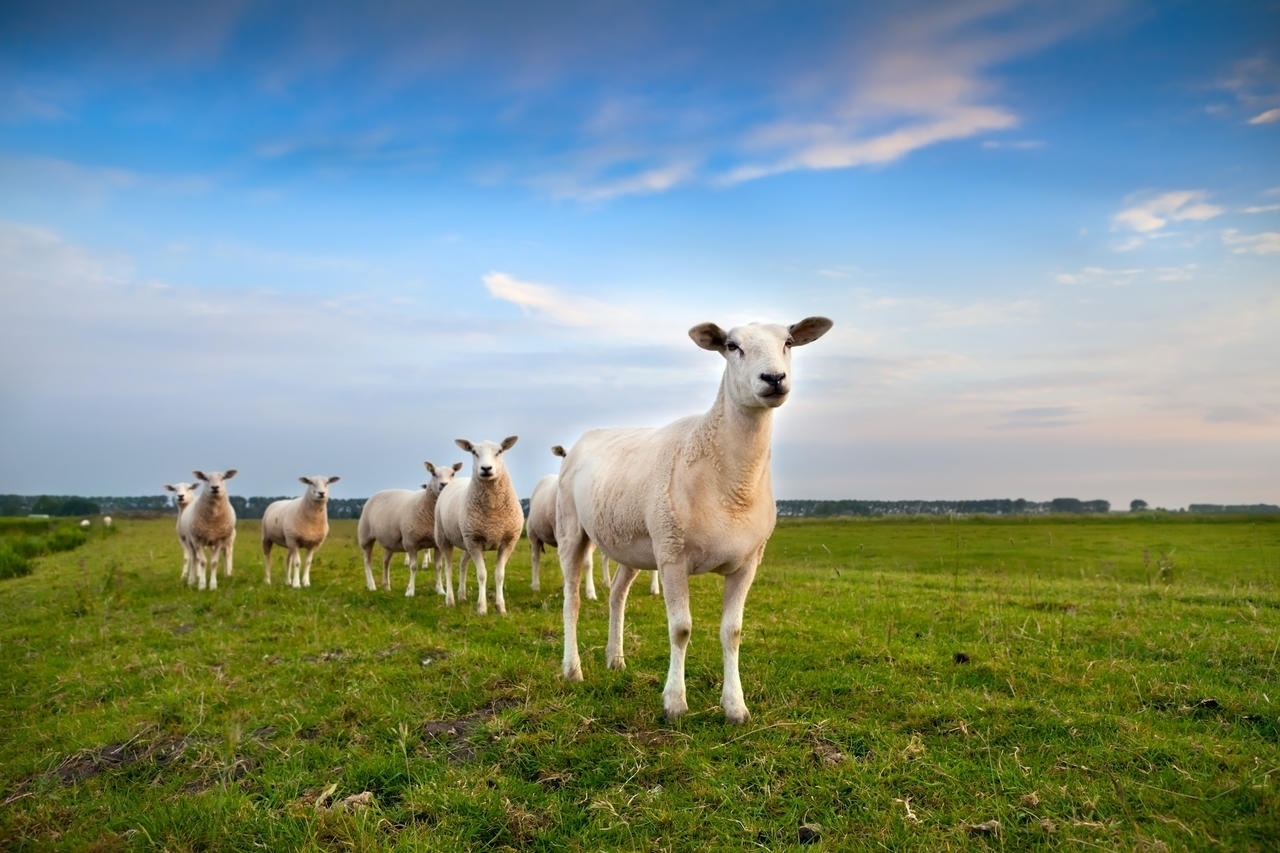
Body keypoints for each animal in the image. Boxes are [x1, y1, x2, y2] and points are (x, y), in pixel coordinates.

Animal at [358, 461, 463, 594]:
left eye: (453, 473)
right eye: (433, 473)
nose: (444, 484)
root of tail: (375, 494)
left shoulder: (438, 544)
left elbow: (438, 567)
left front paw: (440, 590)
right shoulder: (410, 542)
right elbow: (413, 567)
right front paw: (410, 591)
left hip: (389, 542)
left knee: (385, 562)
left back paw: (386, 586)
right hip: (365, 536)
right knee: (367, 561)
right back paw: (371, 585)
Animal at [435, 438, 524, 612]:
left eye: (499, 451)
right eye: (474, 452)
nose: (486, 468)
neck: (493, 511)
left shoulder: (507, 542)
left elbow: (500, 575)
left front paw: (500, 607)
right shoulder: (474, 542)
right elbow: (482, 574)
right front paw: (482, 608)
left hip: (466, 540)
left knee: (462, 564)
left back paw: (462, 595)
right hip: (444, 537)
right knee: (448, 568)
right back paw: (450, 600)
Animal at [555, 315, 834, 722]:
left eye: (788, 342)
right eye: (732, 346)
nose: (774, 378)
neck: (731, 484)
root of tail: (587, 437)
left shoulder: (747, 563)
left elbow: (732, 631)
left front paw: (735, 706)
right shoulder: (673, 556)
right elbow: (681, 629)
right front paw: (674, 702)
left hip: (633, 543)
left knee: (617, 595)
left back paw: (615, 659)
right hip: (572, 530)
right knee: (572, 600)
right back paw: (572, 669)